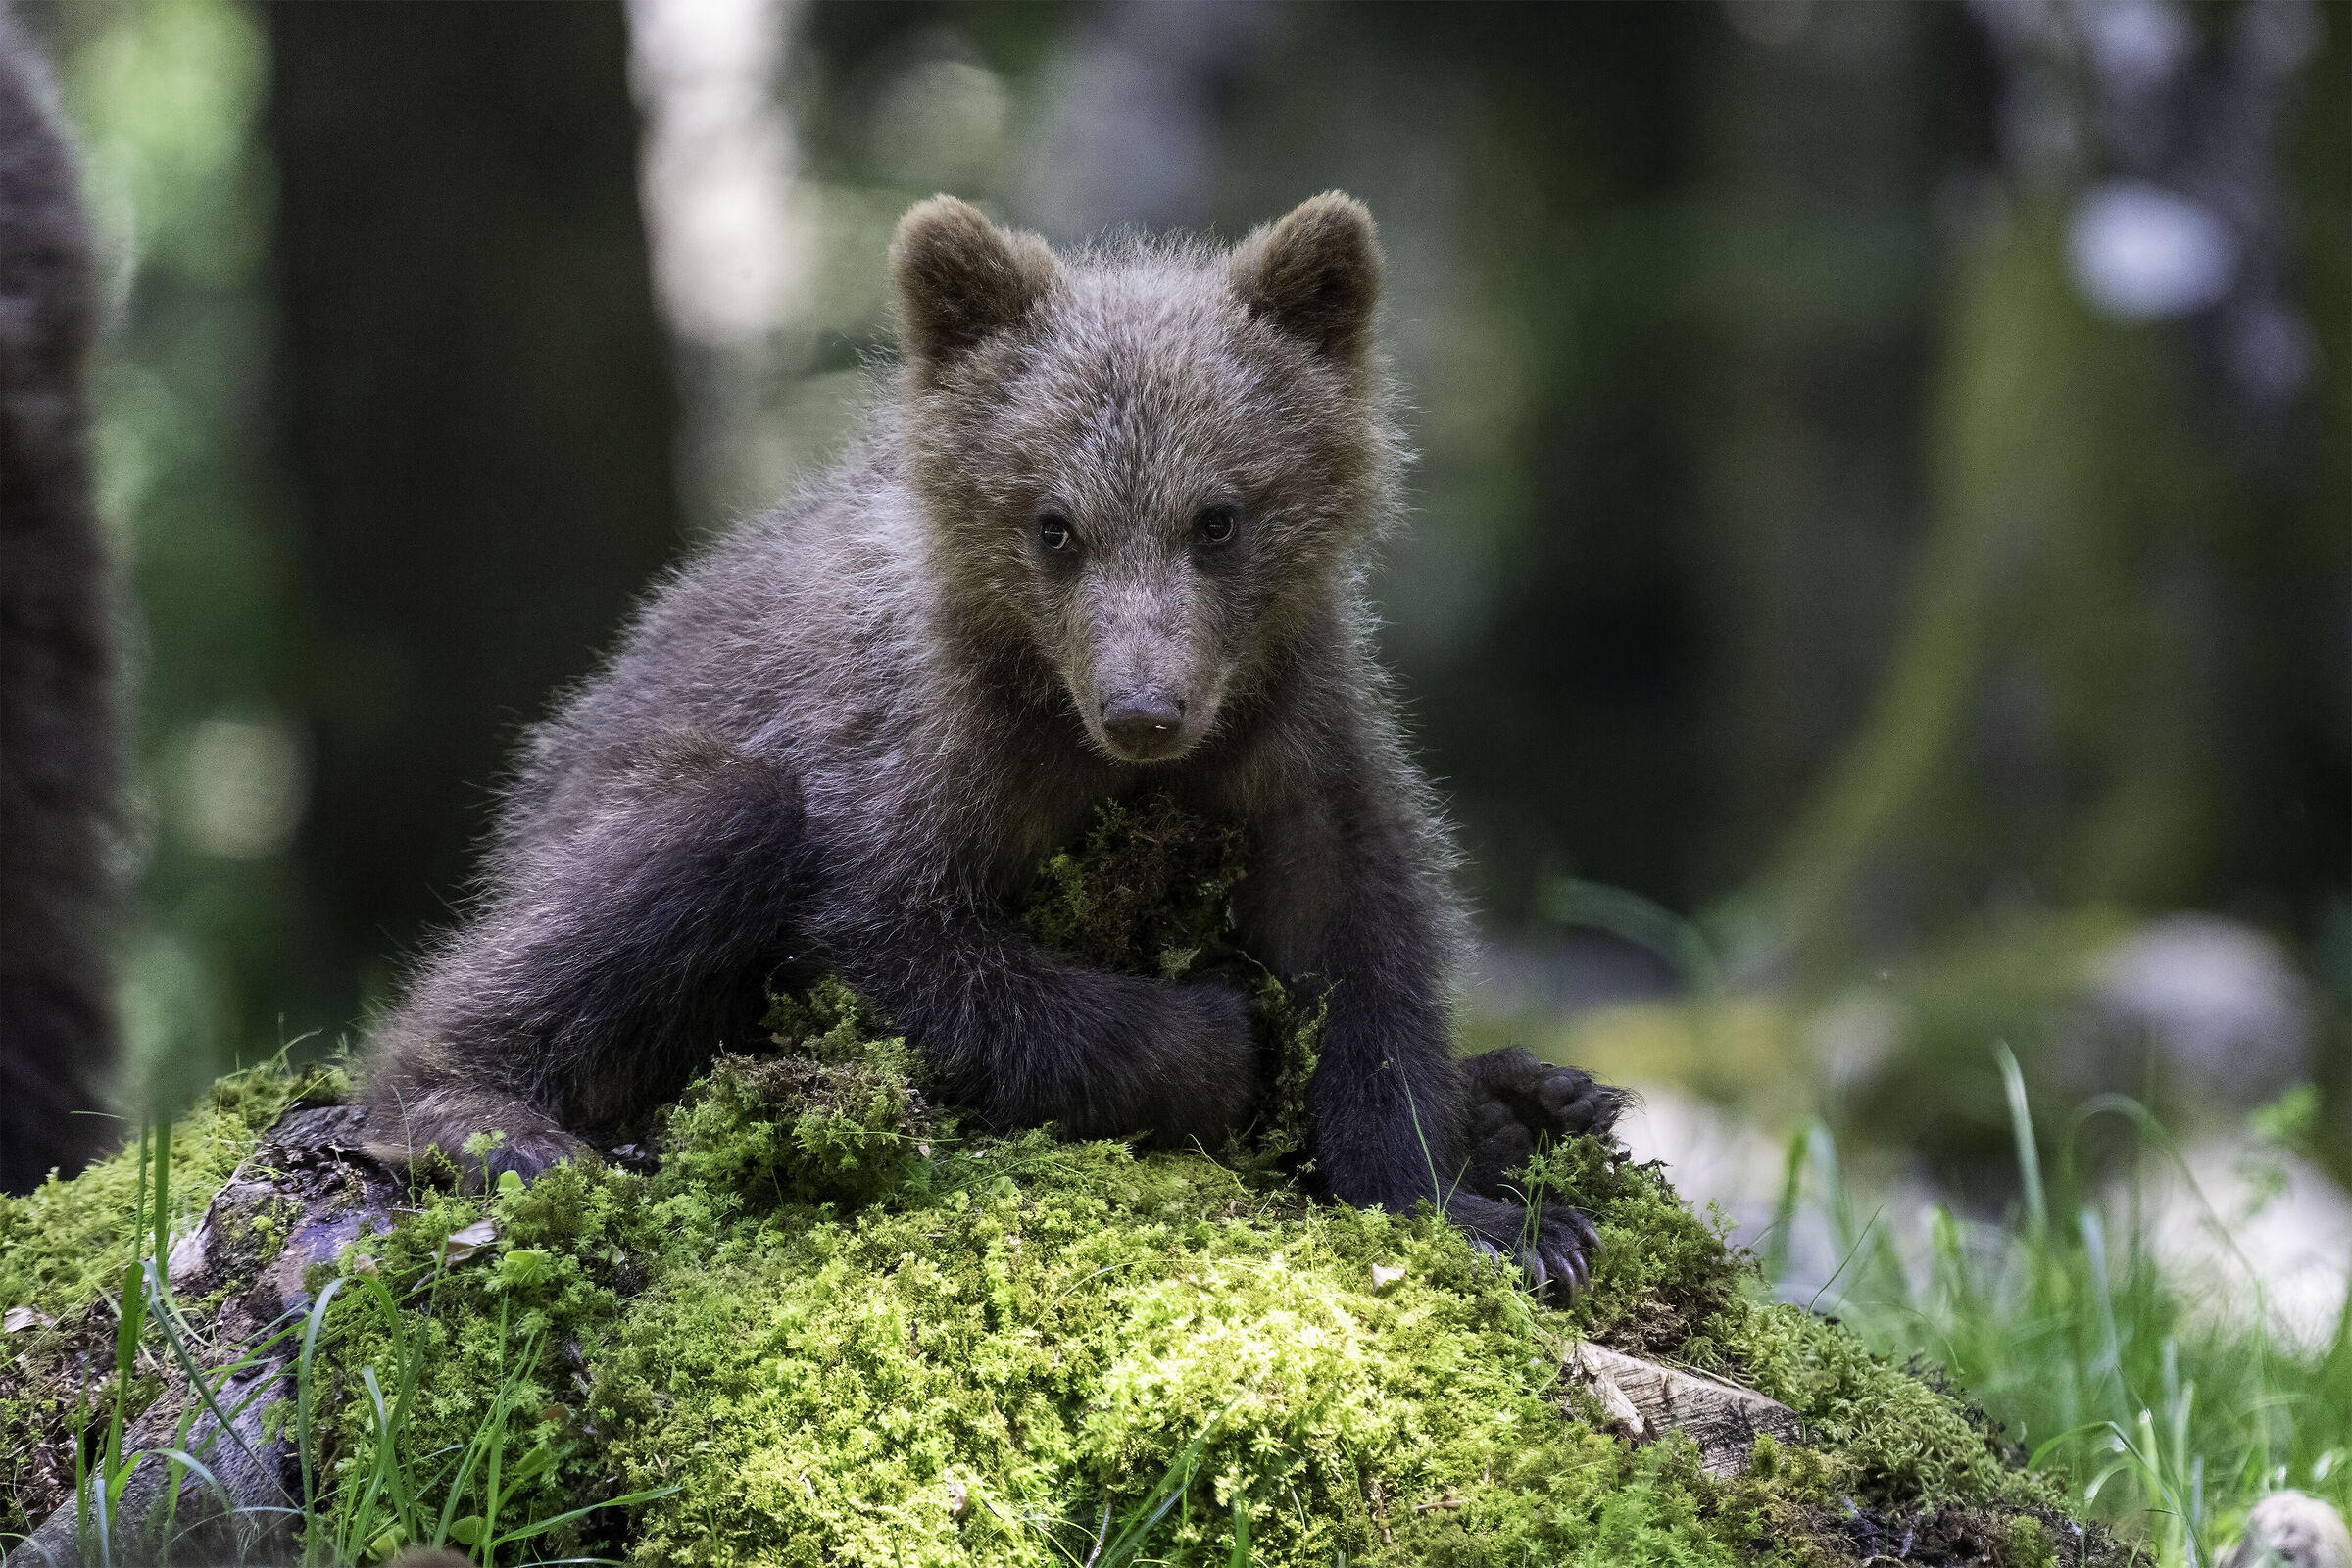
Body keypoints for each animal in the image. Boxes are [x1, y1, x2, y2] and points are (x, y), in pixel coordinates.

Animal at [361, 193, 1620, 1290]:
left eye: (1218, 517)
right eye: (1054, 523)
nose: (1144, 710)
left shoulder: (1296, 742)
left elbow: (1365, 951)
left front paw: (1485, 1210)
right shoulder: (918, 746)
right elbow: (897, 940)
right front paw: (1218, 1040)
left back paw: (1528, 1098)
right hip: (621, 788)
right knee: (681, 844)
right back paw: (480, 1114)